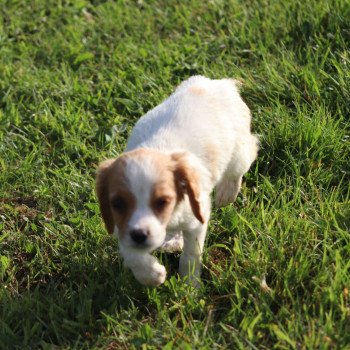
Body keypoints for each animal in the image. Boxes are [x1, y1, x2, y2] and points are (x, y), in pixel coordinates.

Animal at [95, 76, 258, 288]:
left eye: (162, 202)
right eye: (117, 204)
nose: (139, 236)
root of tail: (219, 82)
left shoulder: (198, 219)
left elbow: (191, 255)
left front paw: (190, 286)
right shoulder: (121, 226)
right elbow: (132, 255)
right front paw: (152, 275)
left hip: (239, 150)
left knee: (246, 157)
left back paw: (227, 193)